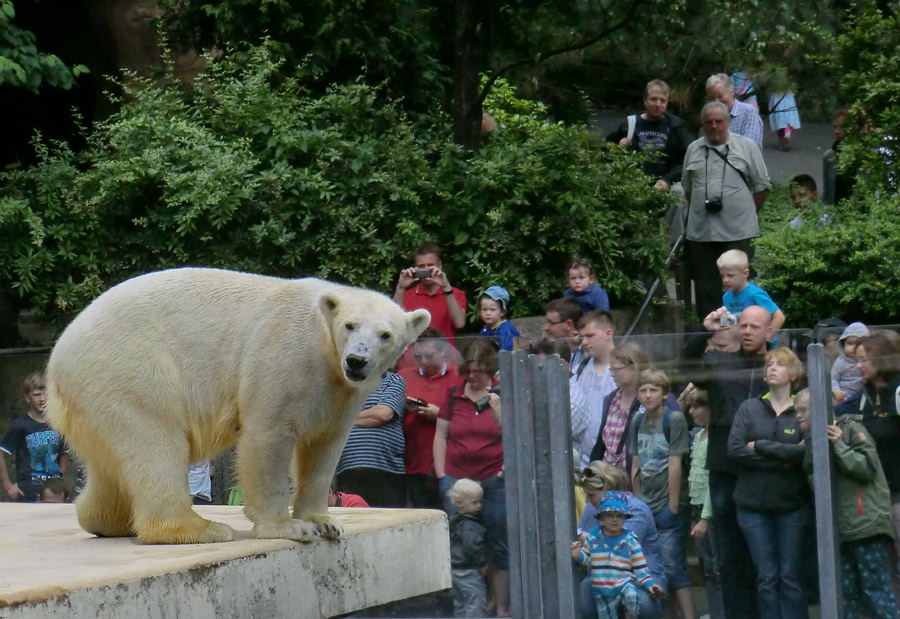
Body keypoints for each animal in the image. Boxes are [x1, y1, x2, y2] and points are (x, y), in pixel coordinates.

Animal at [44, 268, 430, 544]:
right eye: (350, 326)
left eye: (385, 334)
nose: (357, 360)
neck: (325, 348)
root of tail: (56, 359)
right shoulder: (284, 354)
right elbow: (269, 435)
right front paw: (290, 528)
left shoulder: (342, 393)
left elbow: (324, 446)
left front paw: (325, 522)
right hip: (129, 366)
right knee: (155, 441)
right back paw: (198, 529)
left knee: (112, 463)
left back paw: (107, 521)